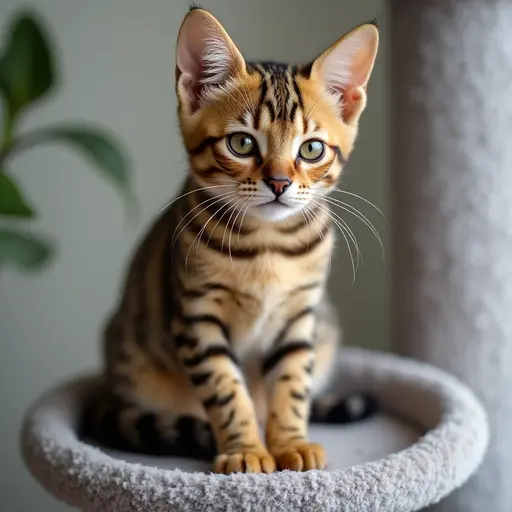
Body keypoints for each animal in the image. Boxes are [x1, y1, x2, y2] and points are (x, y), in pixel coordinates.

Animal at [83, 6, 380, 474]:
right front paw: (246, 449)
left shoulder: (299, 316)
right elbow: (226, 390)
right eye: (242, 143)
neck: (268, 247)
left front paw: (291, 442)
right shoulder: (196, 318)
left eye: (311, 149)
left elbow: (292, 384)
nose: (279, 182)